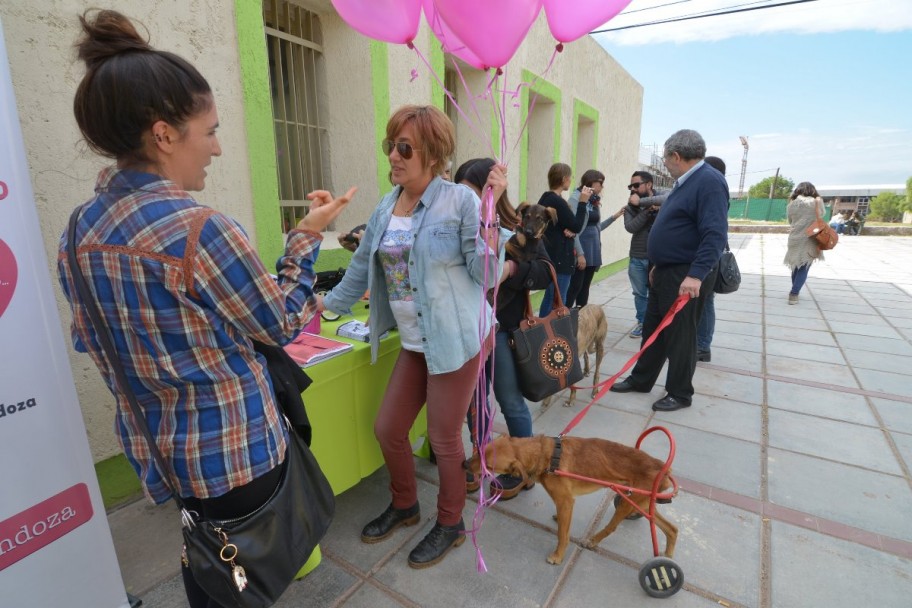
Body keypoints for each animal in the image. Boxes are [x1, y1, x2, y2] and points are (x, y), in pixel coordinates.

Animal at [466, 432, 672, 564]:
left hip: (628, 504)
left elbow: (562, 535)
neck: (546, 455)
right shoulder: (564, 504)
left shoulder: (565, 501)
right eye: (479, 451)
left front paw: (558, 556)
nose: (463, 464)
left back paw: (593, 540)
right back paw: (668, 554)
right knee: (672, 529)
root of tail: (663, 468)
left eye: (488, 466)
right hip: (641, 504)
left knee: (612, 527)